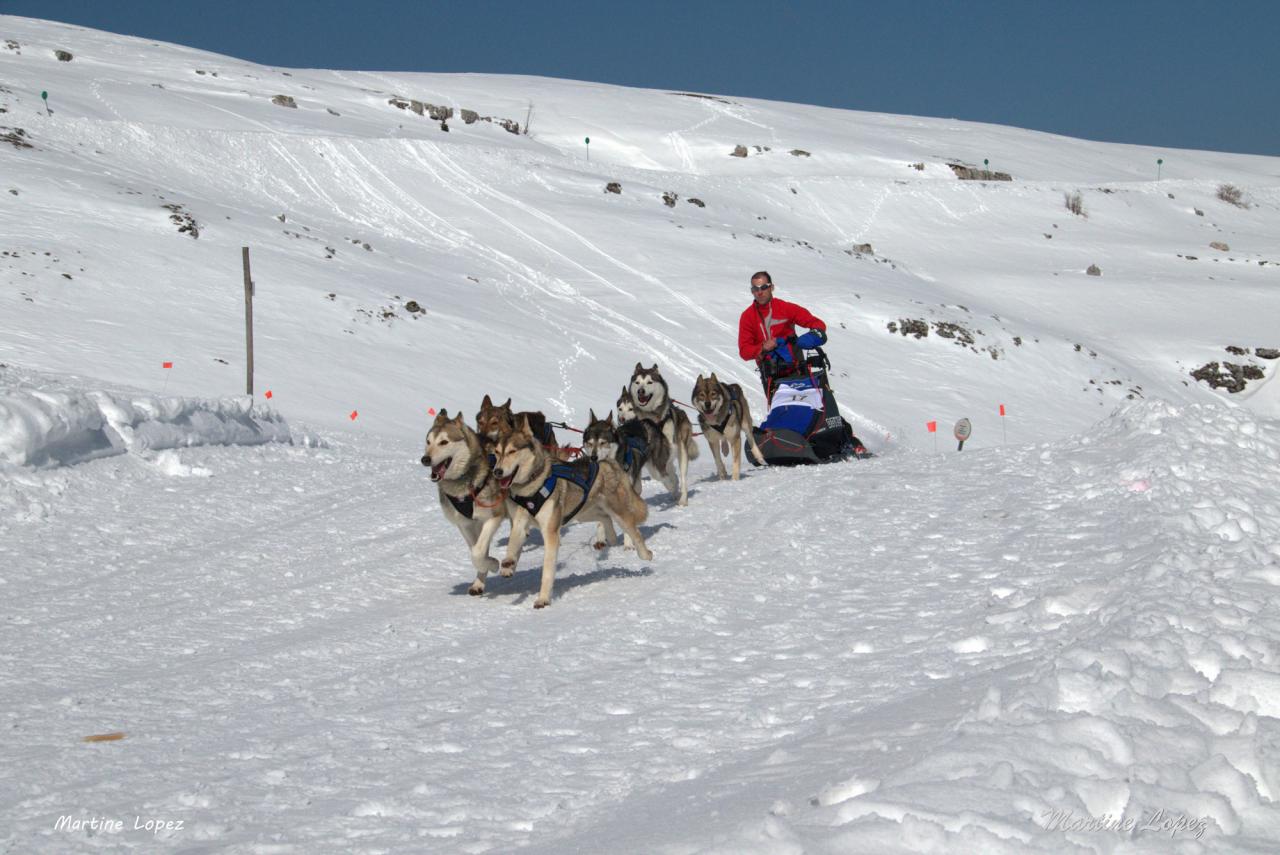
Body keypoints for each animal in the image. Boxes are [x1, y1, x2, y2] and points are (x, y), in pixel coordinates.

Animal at [419, 409, 519, 599]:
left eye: (444, 442)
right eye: (428, 441)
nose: (425, 459)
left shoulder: (493, 517)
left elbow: (478, 552)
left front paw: (493, 564)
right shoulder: (465, 524)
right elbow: (476, 551)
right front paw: (480, 580)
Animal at [488, 414, 650, 606]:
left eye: (512, 451)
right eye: (497, 452)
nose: (497, 471)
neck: (531, 487)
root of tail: (608, 462)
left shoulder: (550, 532)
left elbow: (547, 570)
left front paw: (543, 599)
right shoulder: (519, 522)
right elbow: (513, 542)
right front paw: (508, 564)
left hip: (618, 511)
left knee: (633, 531)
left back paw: (645, 554)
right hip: (584, 512)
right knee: (604, 517)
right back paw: (610, 537)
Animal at [624, 363, 696, 506]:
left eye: (649, 382)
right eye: (637, 382)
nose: (640, 391)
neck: (651, 418)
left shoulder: (667, 447)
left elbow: (661, 475)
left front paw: (673, 486)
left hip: (682, 452)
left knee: (681, 476)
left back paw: (682, 498)